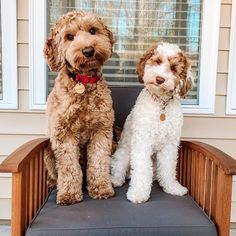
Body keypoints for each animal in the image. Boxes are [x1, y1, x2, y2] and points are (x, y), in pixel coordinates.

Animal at [44, 11, 115, 205]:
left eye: (92, 30)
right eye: (69, 37)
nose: (88, 51)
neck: (83, 81)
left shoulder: (102, 130)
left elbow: (98, 162)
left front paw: (101, 188)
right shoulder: (63, 134)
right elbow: (69, 167)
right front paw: (69, 194)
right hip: (48, 150)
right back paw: (53, 183)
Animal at [110, 42, 194, 203]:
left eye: (173, 68)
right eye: (157, 61)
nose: (160, 79)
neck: (161, 105)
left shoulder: (169, 144)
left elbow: (168, 167)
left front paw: (172, 187)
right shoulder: (143, 141)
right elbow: (142, 169)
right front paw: (138, 193)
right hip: (124, 152)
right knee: (119, 167)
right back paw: (115, 180)